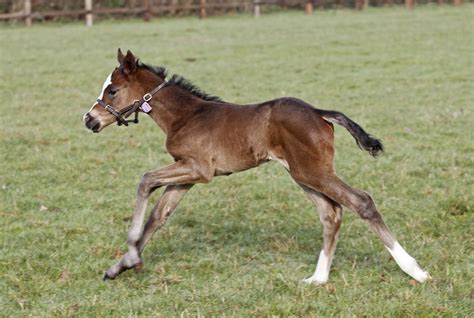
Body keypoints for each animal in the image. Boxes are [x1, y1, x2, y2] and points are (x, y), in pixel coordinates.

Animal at [83, 49, 432, 284]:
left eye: (112, 90)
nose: (89, 120)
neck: (186, 116)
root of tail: (319, 112)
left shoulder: (199, 170)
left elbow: (144, 181)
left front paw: (130, 254)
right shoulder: (187, 173)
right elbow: (159, 216)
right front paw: (120, 266)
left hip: (313, 171)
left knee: (361, 201)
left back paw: (415, 271)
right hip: (303, 174)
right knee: (331, 214)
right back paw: (318, 279)